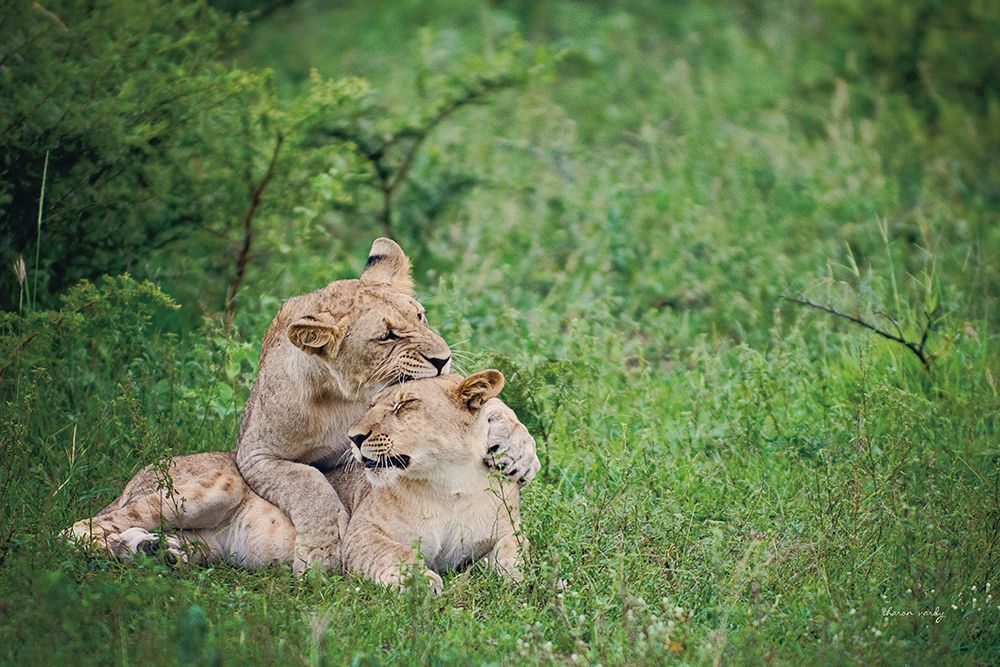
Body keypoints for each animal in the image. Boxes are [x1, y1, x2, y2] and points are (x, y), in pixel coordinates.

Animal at [68, 370, 524, 596]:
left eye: (405, 405)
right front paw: (422, 583)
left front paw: (513, 580)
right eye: (372, 406)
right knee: (77, 528)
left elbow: (516, 558)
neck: (448, 483)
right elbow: (395, 555)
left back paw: (158, 553)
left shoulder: (509, 531)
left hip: (205, 544)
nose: (354, 437)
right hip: (211, 490)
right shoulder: (360, 536)